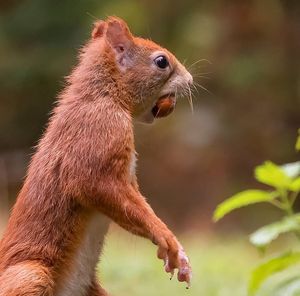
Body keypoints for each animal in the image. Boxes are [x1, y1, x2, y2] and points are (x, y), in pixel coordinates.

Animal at [0, 16, 192, 296]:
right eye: (161, 61)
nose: (190, 79)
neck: (104, 95)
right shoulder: (96, 144)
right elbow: (112, 196)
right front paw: (168, 240)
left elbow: (139, 205)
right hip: (31, 275)